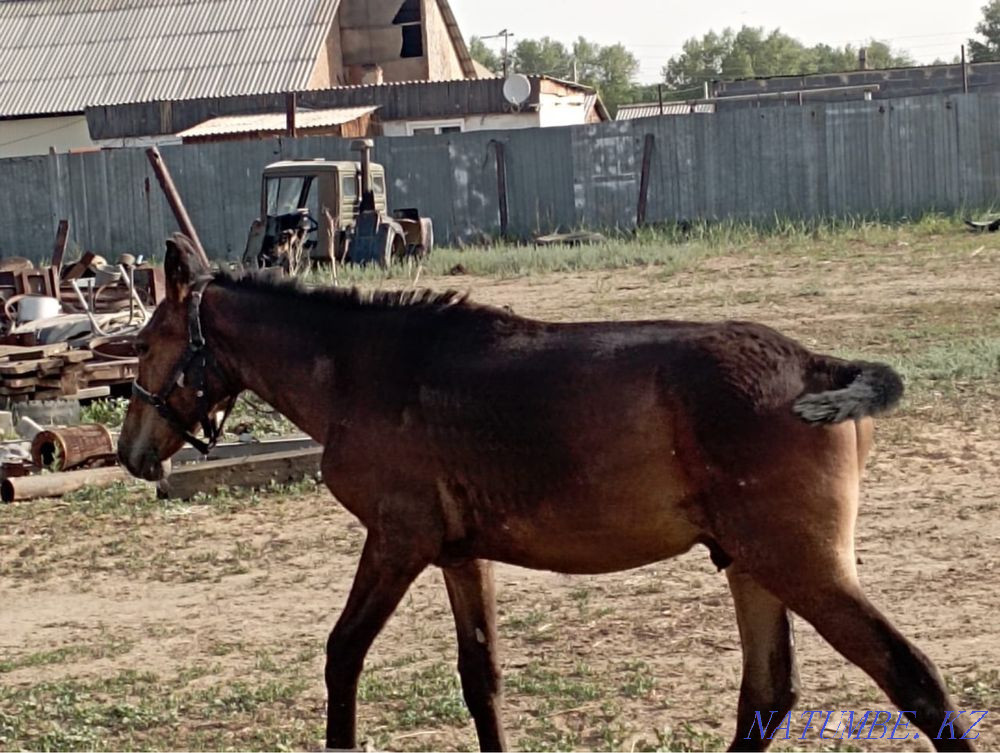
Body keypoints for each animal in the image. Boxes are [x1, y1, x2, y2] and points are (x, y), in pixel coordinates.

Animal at [118, 234, 975, 752]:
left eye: (149, 340)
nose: (131, 452)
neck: (365, 369)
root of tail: (817, 365)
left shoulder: (396, 543)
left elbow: (342, 654)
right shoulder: (459, 556)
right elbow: (481, 676)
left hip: (801, 565)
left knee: (913, 679)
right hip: (752, 565)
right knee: (769, 691)